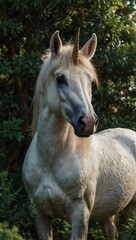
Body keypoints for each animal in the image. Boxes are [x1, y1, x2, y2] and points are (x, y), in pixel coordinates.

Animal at [22, 29, 136, 239]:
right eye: (60, 78)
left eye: (90, 81)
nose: (88, 122)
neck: (53, 160)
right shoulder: (40, 214)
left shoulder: (79, 213)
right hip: (107, 214)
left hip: (131, 209)